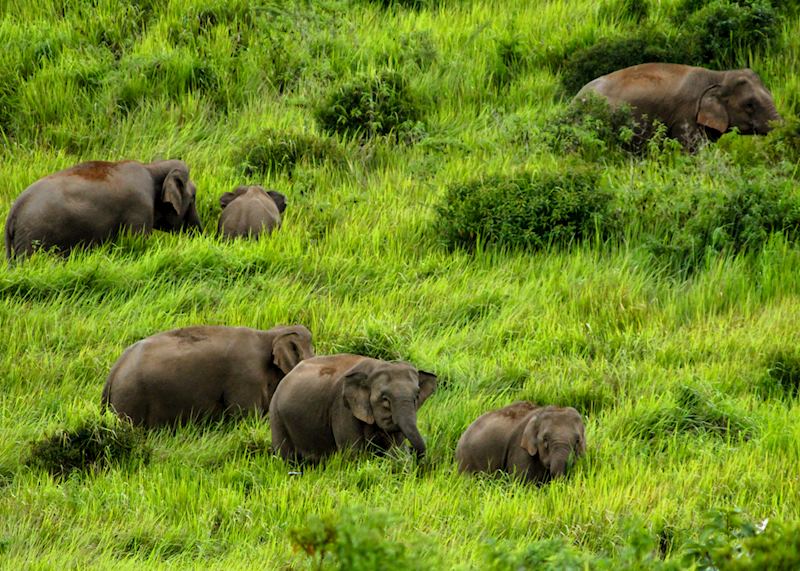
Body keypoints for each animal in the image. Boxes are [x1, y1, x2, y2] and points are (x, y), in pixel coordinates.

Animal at [4, 159, 202, 260]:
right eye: (194, 196)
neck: (152, 167)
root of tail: (13, 212)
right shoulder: (139, 208)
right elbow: (138, 244)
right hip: (33, 237)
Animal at [269, 354, 437, 463]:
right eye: (385, 399)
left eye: (416, 397)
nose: (413, 452)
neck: (376, 366)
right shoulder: (342, 408)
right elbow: (353, 453)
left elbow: (396, 451)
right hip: (277, 416)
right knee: (286, 458)